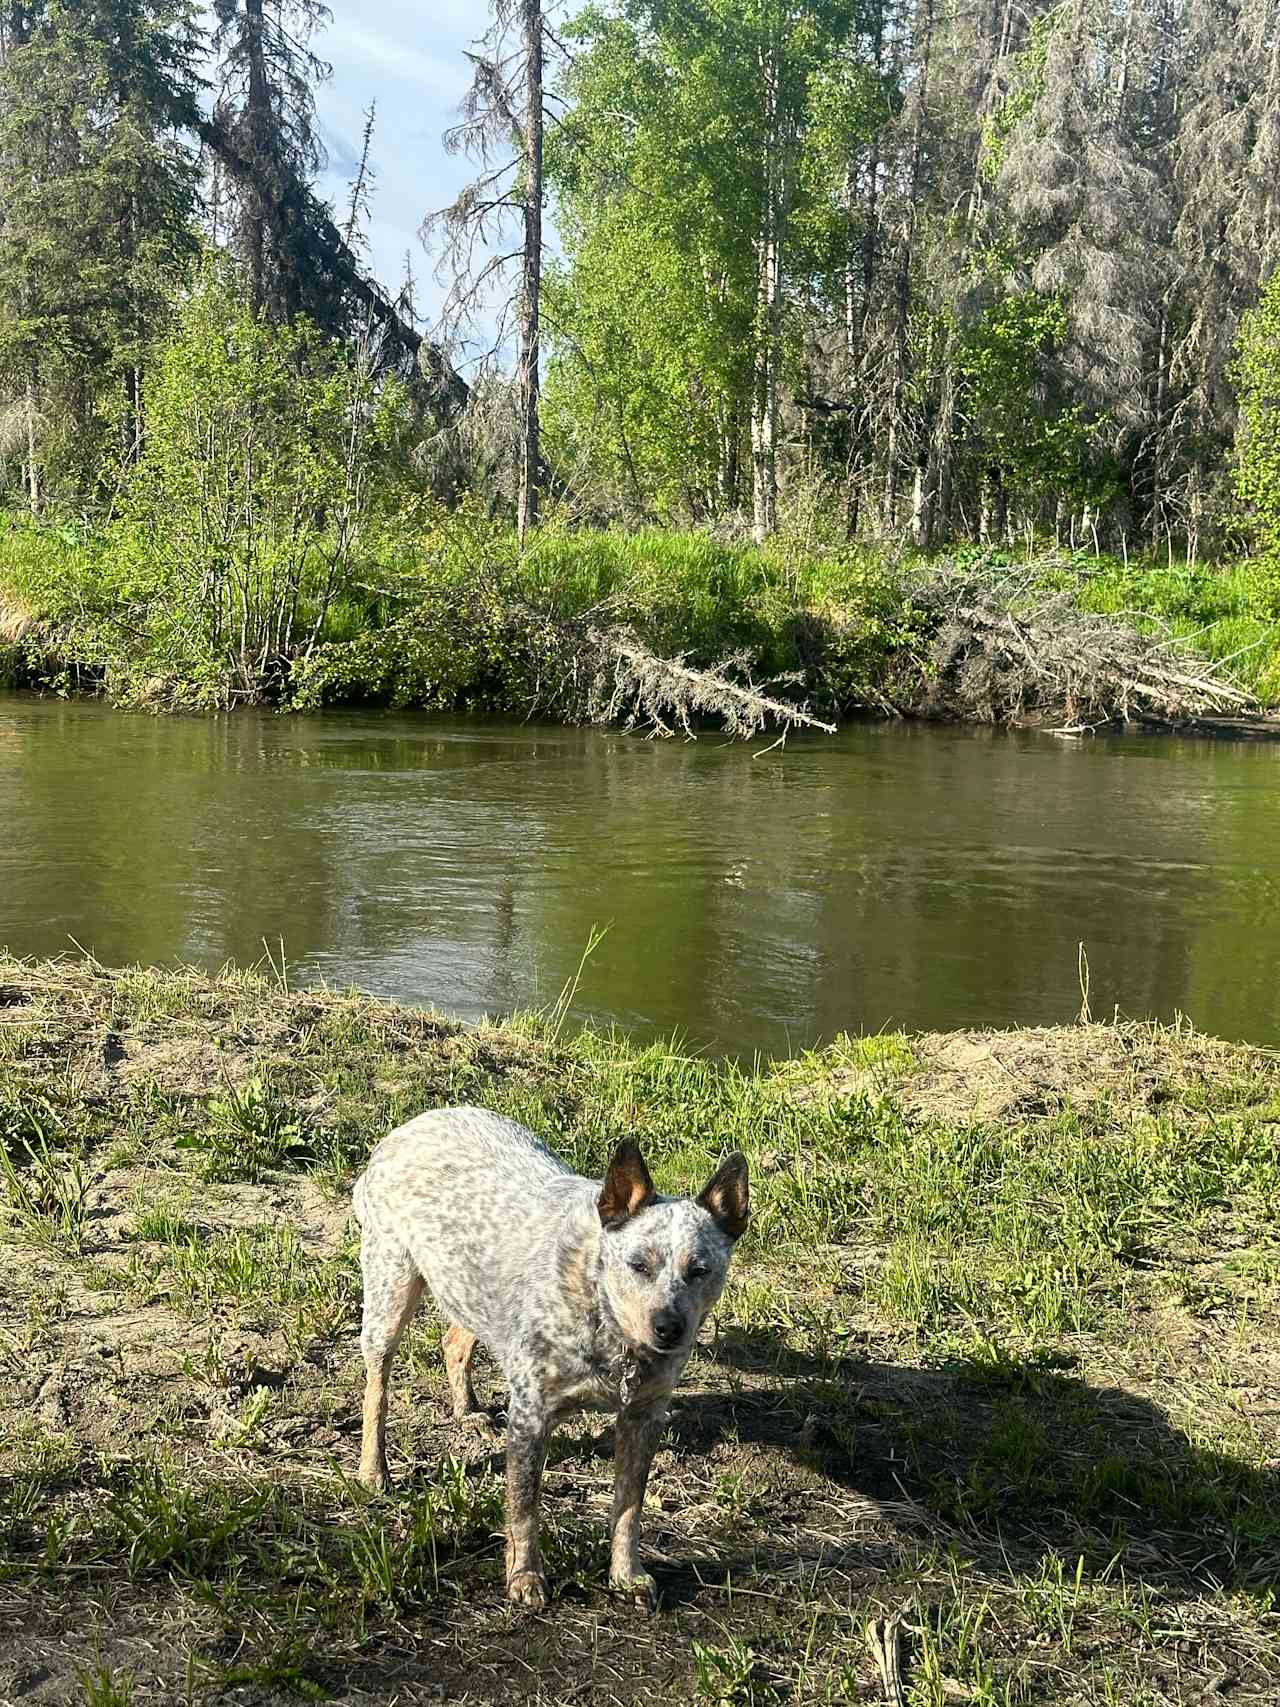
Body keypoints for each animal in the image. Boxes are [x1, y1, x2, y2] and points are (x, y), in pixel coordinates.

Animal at [353, 1106, 750, 1611]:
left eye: (700, 1270)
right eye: (638, 1265)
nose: (669, 1328)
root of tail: (414, 1122)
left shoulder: (643, 1417)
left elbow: (629, 1508)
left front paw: (627, 1574)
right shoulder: (530, 1414)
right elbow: (524, 1506)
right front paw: (525, 1577)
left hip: (469, 1284)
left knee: (455, 1339)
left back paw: (467, 1410)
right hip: (390, 1290)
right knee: (377, 1385)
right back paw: (374, 1469)